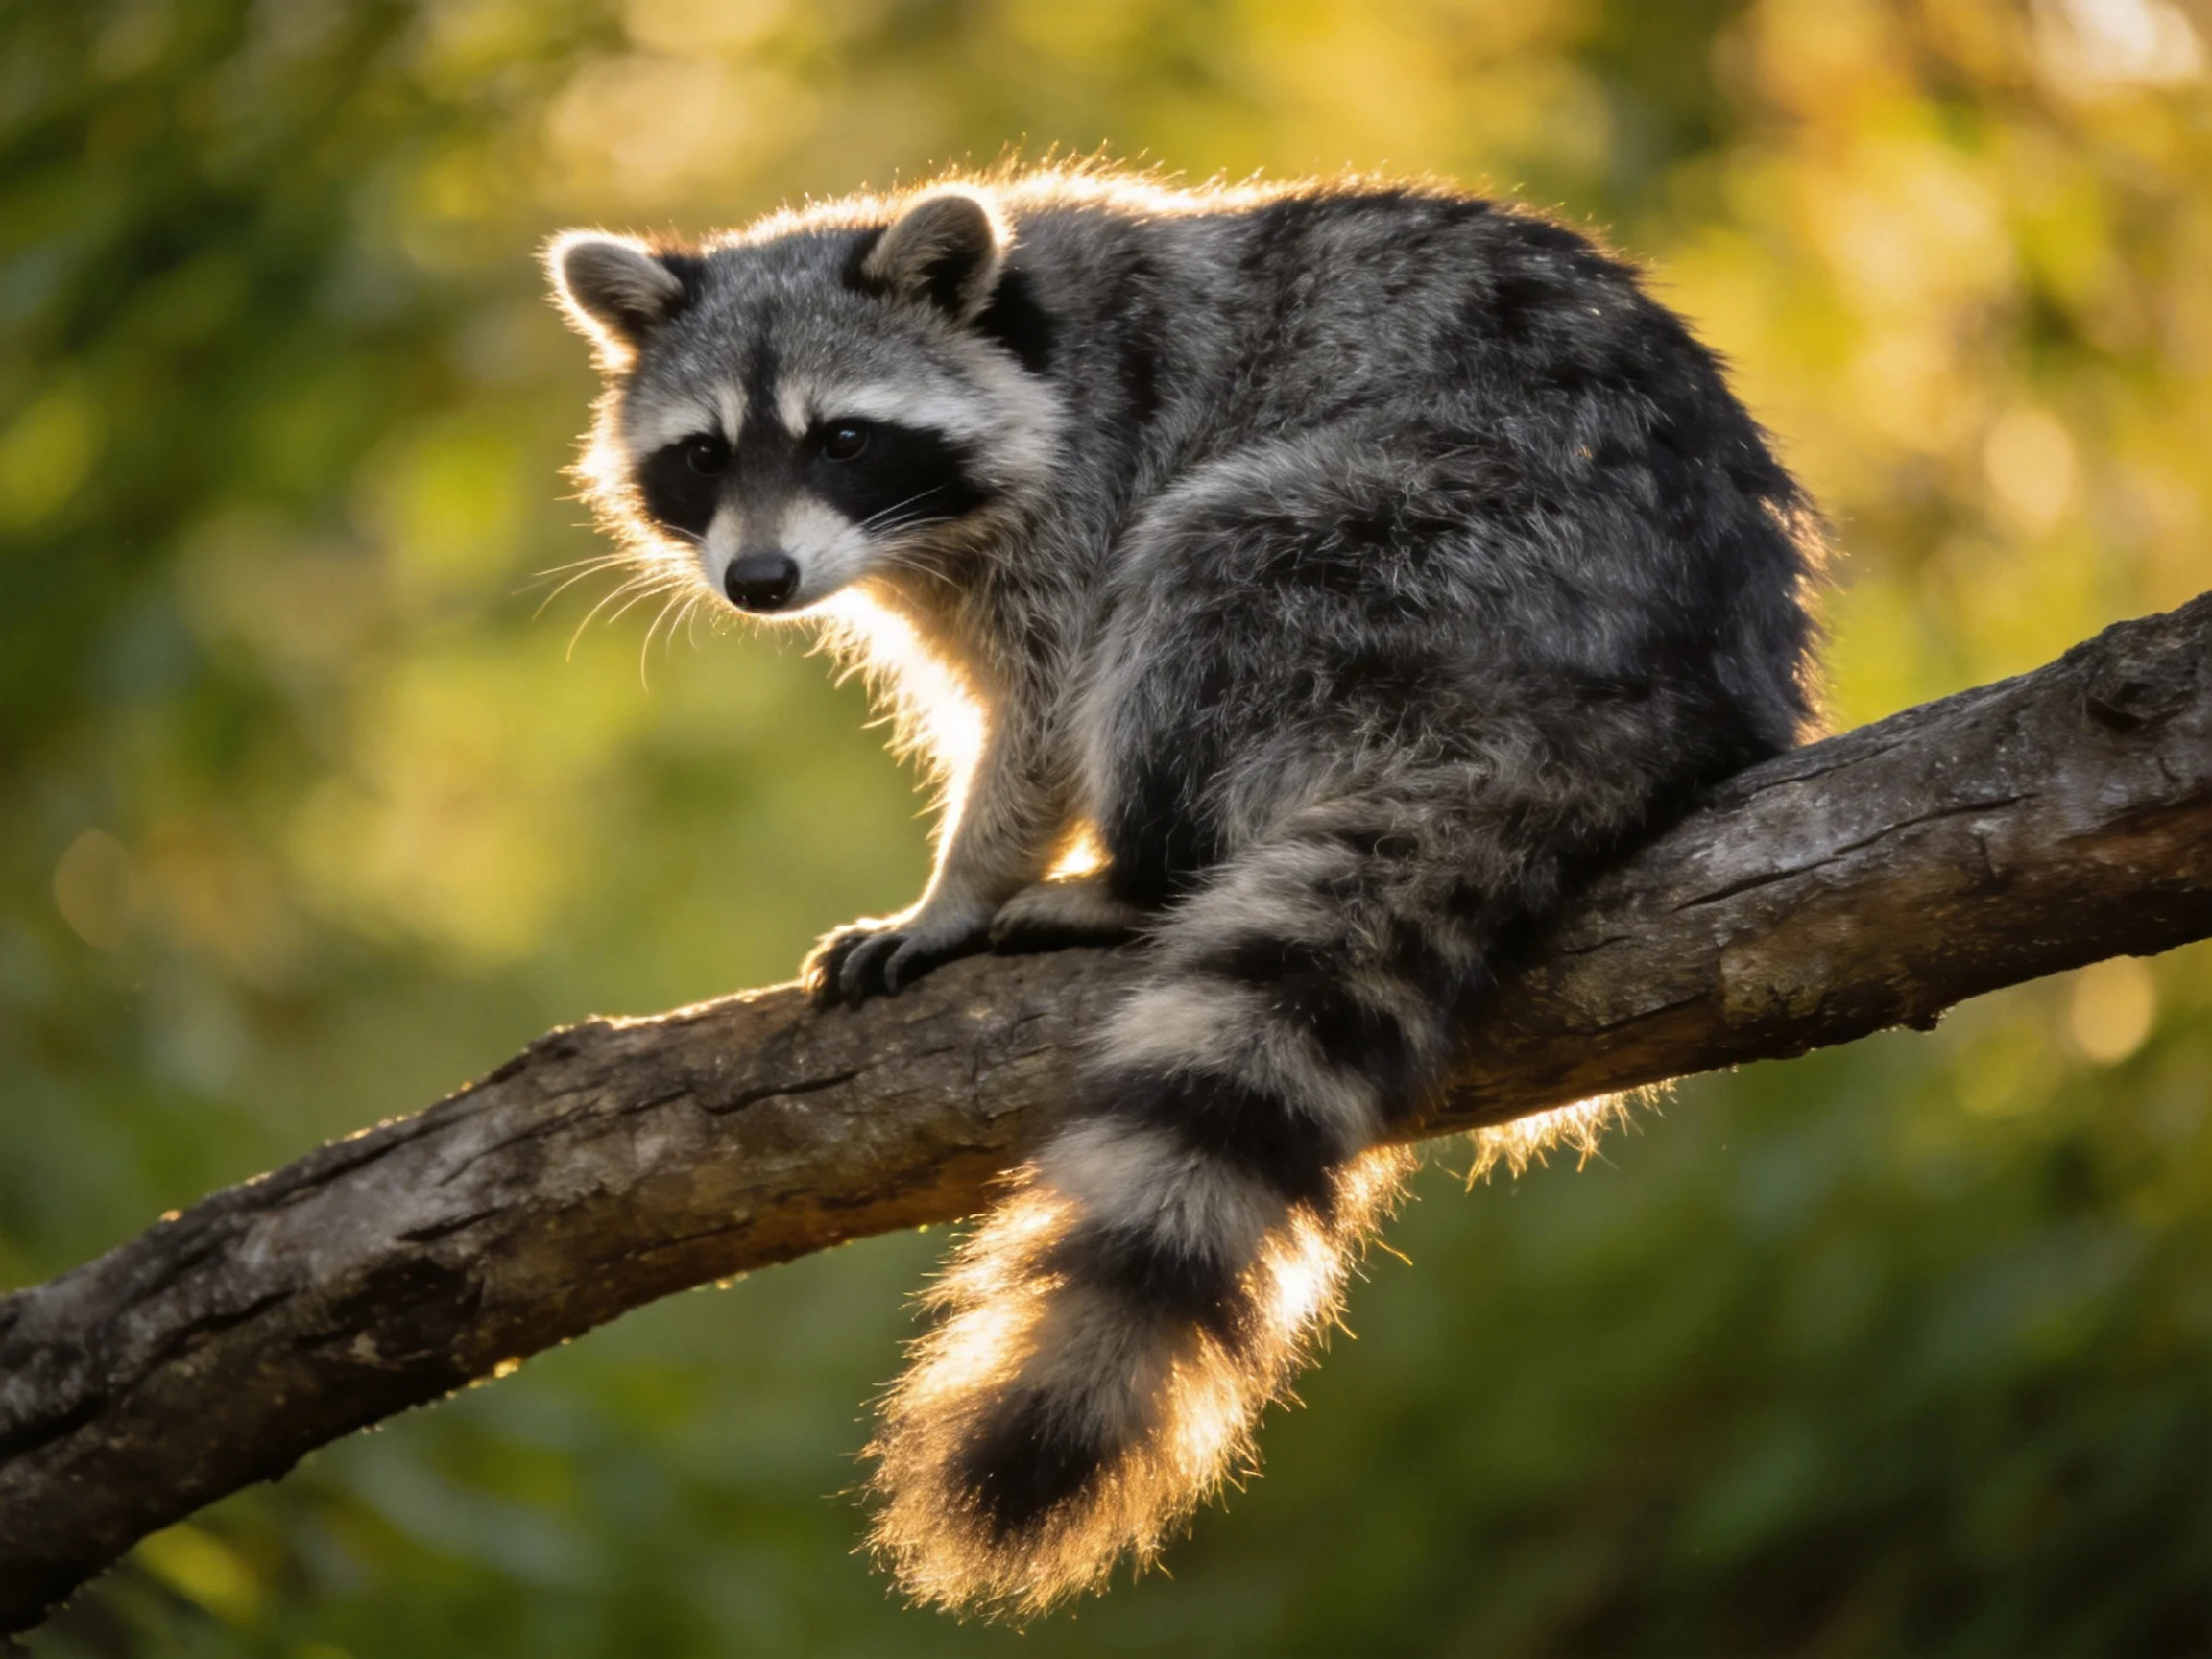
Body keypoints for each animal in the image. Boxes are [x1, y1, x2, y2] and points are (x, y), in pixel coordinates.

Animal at [549, 168, 1822, 1616]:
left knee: (1202, 570)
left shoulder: (1089, 477)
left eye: (844, 439)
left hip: (1437, 552)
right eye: (705, 455)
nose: (758, 582)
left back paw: (1143, 869)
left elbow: (1050, 711)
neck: (1018, 331)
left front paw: (962, 884)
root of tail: (1673, 682)